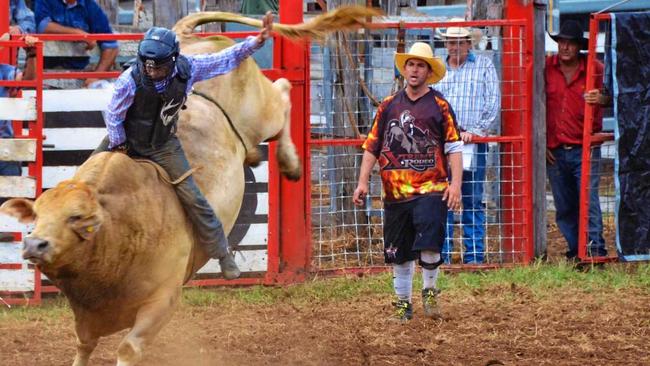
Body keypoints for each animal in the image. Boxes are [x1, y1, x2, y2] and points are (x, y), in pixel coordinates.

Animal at [0, 6, 380, 366]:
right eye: (36, 216)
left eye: (76, 217)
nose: (33, 244)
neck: (117, 224)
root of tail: (189, 38)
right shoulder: (86, 312)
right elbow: (83, 345)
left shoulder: (163, 300)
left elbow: (128, 348)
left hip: (263, 112)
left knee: (284, 92)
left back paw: (290, 162)